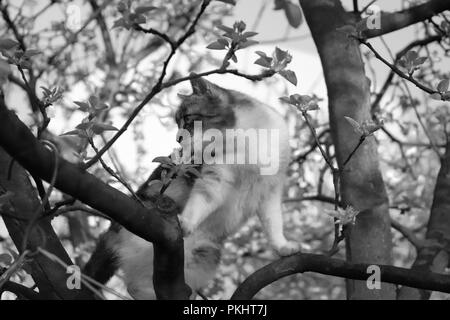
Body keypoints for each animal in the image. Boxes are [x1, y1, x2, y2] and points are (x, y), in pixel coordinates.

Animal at [86, 78, 300, 300]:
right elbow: (202, 200)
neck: (246, 144)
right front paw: (187, 221)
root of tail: (111, 233)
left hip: (205, 255)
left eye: (188, 120)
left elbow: (273, 222)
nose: (178, 139)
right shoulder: (215, 179)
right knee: (134, 285)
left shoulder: (271, 191)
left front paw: (283, 247)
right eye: (177, 123)